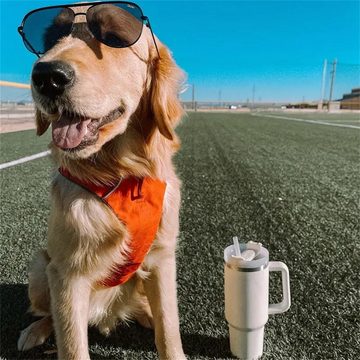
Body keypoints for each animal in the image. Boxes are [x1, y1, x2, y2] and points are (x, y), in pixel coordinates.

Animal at [16, 3, 186, 360]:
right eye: (49, 39)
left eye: (114, 37)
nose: (47, 76)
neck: (121, 177)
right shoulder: (67, 275)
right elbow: (72, 344)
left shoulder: (163, 258)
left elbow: (169, 328)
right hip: (40, 266)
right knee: (49, 314)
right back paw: (36, 330)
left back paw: (145, 313)